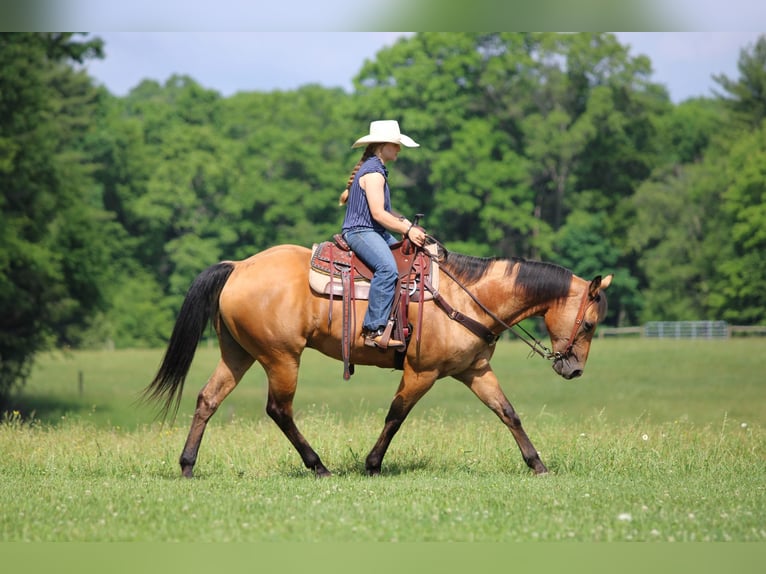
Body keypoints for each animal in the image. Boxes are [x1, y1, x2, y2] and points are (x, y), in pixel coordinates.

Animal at [143, 239, 613, 478]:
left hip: (238, 354)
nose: (574, 369)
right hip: (281, 358)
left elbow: (508, 413)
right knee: (279, 409)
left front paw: (538, 464)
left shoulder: (475, 370)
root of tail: (238, 266)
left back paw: (187, 466)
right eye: (590, 324)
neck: (468, 295)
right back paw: (319, 467)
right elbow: (396, 415)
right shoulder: (421, 372)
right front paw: (372, 464)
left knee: (208, 399)